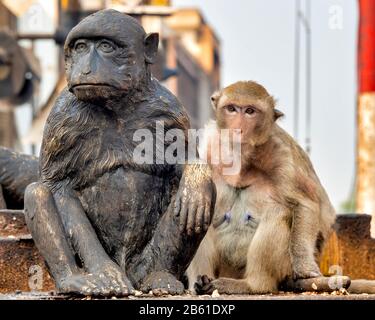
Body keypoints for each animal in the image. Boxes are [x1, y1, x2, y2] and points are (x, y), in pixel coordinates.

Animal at [188, 81, 356, 294]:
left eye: (250, 111)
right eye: (232, 109)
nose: (237, 129)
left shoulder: (281, 155)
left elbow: (305, 204)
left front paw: (305, 267)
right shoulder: (210, 144)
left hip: (281, 266)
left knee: (279, 213)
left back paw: (251, 285)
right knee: (202, 219)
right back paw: (201, 282)